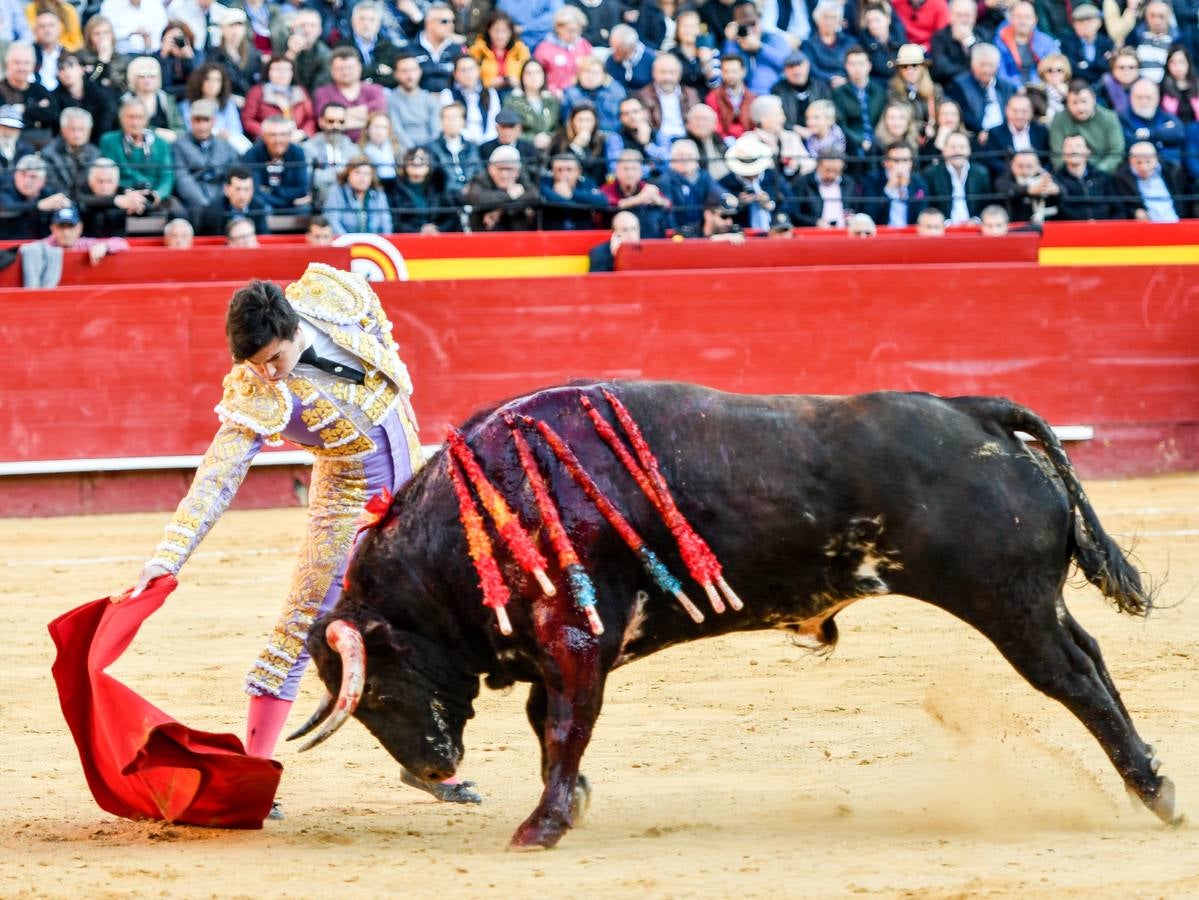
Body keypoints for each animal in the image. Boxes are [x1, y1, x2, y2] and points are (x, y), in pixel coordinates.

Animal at [294, 383, 1175, 848]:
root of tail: (971, 410)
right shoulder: (568, 651)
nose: (433, 770)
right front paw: (567, 805)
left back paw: (1155, 790)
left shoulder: (576, 638)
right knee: (1091, 661)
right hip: (1030, 603)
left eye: (375, 692)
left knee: (1073, 680)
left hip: (1005, 603)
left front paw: (538, 827)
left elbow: (564, 727)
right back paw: (1151, 781)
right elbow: (553, 729)